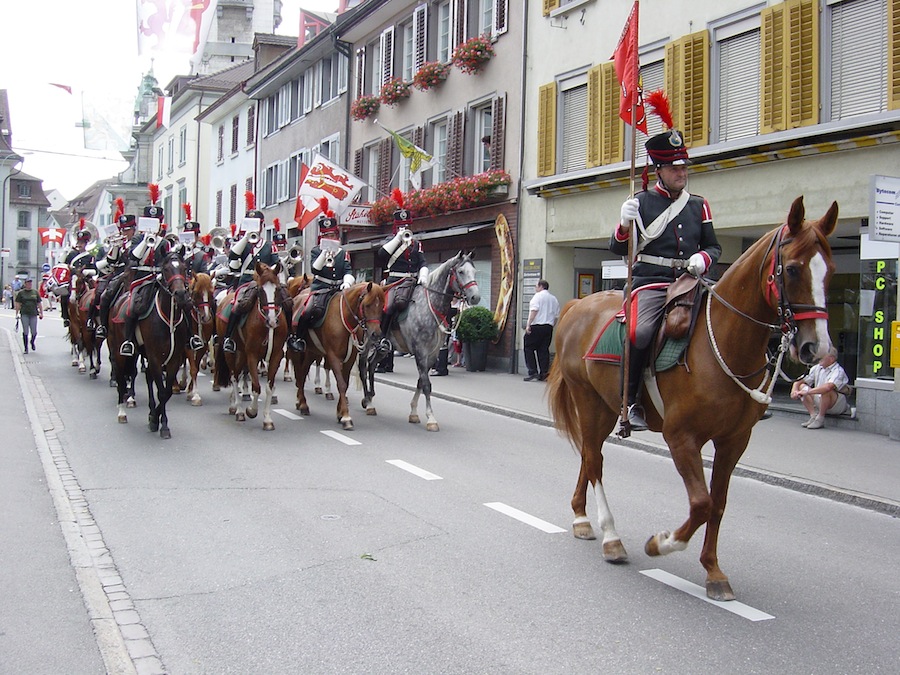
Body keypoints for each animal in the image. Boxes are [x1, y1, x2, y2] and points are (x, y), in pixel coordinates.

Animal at [109, 254, 193, 438]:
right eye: (166, 269)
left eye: (184, 268)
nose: (181, 294)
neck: (168, 318)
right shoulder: (155, 357)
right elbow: (161, 391)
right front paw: (162, 425)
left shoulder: (173, 359)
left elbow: (167, 391)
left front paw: (154, 417)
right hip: (120, 352)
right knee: (120, 377)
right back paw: (122, 412)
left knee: (145, 376)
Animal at [214, 262, 288, 430]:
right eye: (260, 290)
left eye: (278, 289)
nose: (272, 321)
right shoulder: (253, 356)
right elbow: (256, 387)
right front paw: (251, 410)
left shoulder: (275, 356)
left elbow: (268, 387)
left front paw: (267, 419)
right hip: (231, 352)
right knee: (234, 377)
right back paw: (239, 410)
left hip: (242, 353)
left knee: (238, 373)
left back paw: (234, 405)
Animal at [290, 282, 384, 430]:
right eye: (367, 305)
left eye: (381, 306)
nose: (375, 334)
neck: (345, 319)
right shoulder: (333, 356)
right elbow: (341, 384)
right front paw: (346, 417)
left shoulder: (350, 359)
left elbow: (345, 383)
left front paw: (340, 413)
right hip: (296, 352)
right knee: (300, 374)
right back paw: (303, 404)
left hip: (312, 352)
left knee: (303, 373)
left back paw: (301, 403)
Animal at [362, 254, 482, 434]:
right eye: (461, 271)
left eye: (474, 271)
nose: (475, 297)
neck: (429, 306)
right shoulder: (420, 351)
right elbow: (426, 384)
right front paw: (431, 418)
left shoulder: (431, 354)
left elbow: (421, 381)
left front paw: (413, 413)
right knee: (362, 367)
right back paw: (365, 400)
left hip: (382, 349)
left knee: (371, 365)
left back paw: (370, 400)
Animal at [544, 197, 840, 604]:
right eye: (793, 269)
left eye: (830, 272)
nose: (816, 347)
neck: (725, 344)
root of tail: (577, 305)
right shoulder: (681, 438)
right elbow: (700, 503)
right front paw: (661, 542)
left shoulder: (734, 441)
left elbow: (717, 504)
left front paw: (713, 571)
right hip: (588, 402)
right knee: (594, 460)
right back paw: (611, 537)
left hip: (604, 407)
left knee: (590, 458)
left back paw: (582, 518)